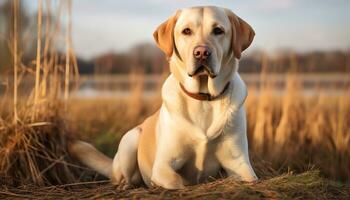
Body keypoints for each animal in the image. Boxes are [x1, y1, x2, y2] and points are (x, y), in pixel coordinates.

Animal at [69, 5, 258, 189]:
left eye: (218, 30)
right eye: (186, 31)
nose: (202, 52)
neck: (203, 97)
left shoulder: (240, 164)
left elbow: (251, 178)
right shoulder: (163, 166)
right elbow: (177, 182)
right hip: (131, 139)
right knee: (122, 178)